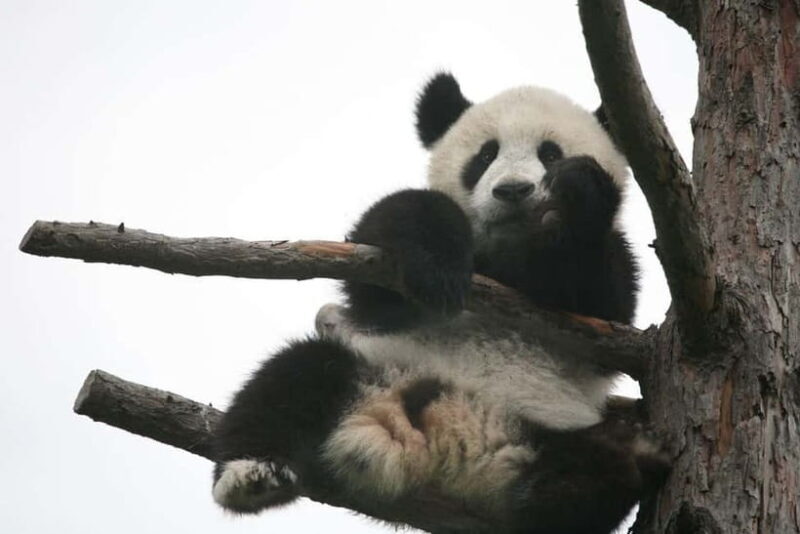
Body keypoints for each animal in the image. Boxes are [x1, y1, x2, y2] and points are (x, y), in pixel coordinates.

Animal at [211, 73, 662, 534]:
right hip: (375, 371)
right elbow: (393, 243)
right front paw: (438, 272)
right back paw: (251, 475)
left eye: (550, 152)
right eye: (485, 155)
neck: (510, 248)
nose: (513, 190)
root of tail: (434, 449)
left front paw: (580, 194)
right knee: (296, 376)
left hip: (544, 435)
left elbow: (604, 302)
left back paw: (598, 470)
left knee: (591, 479)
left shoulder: (594, 296)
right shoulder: (384, 281)